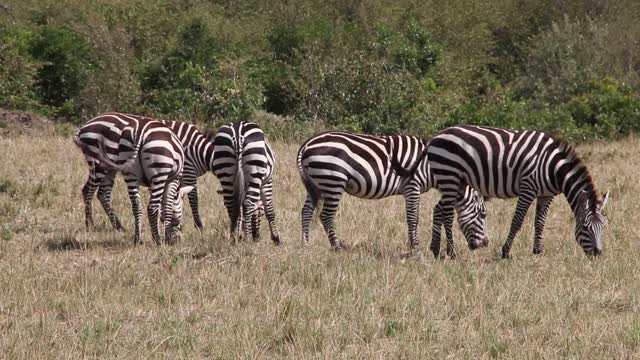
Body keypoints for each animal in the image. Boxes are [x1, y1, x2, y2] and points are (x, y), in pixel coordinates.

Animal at [298, 131, 488, 255]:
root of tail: (306, 144)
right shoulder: (412, 186)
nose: (486, 244)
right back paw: (337, 248)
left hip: (316, 184)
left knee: (306, 211)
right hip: (332, 181)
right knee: (326, 216)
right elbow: (413, 218)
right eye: (483, 214)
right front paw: (415, 249)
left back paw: (306, 245)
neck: (432, 165)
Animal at [424, 125, 608, 258]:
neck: (553, 168)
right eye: (585, 227)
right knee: (447, 214)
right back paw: (451, 252)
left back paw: (435, 249)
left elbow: (540, 222)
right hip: (450, 176)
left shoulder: (546, 195)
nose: (598, 253)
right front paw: (505, 252)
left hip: (457, 182)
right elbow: (517, 221)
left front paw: (538, 251)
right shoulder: (528, 187)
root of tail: (437, 136)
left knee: (439, 209)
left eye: (603, 226)